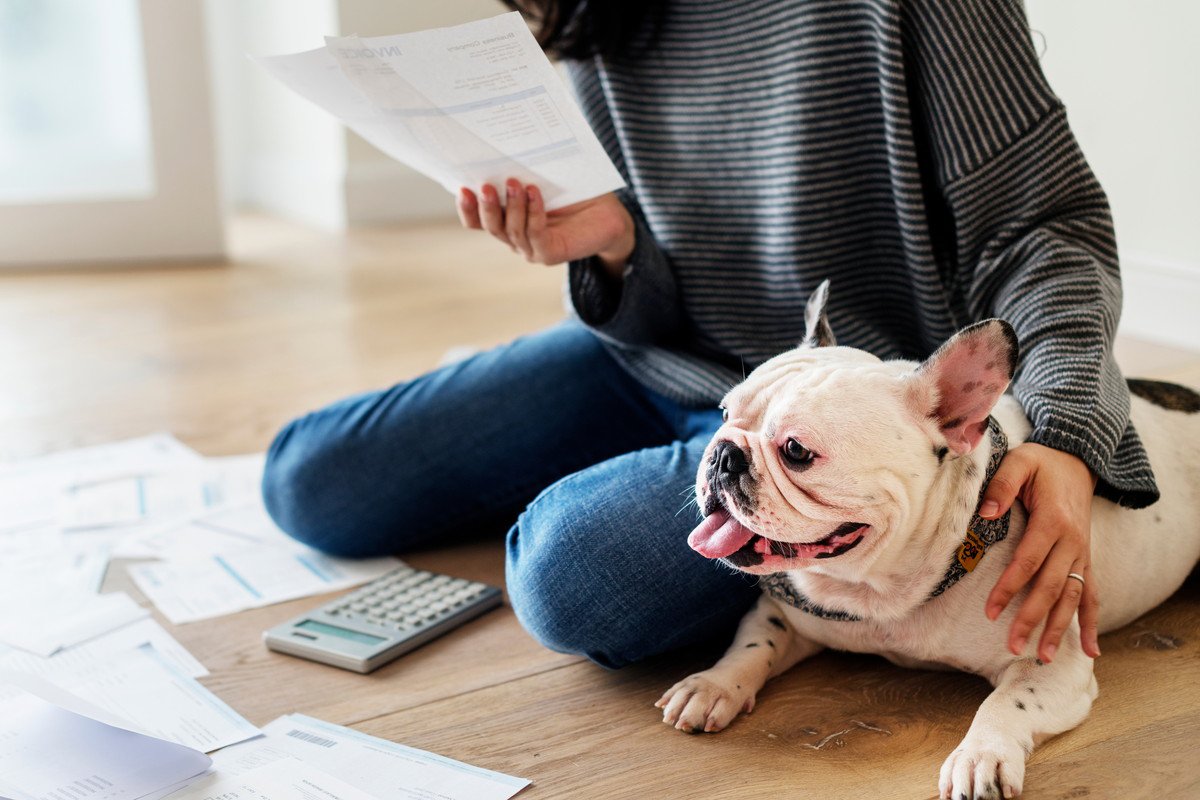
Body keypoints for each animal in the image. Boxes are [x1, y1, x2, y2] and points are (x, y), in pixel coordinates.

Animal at [662, 284, 1195, 796]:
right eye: (723, 414)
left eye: (796, 450)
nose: (722, 454)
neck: (878, 591)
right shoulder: (782, 610)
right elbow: (753, 645)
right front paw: (712, 685)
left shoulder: (1051, 662)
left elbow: (1006, 704)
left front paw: (979, 758)